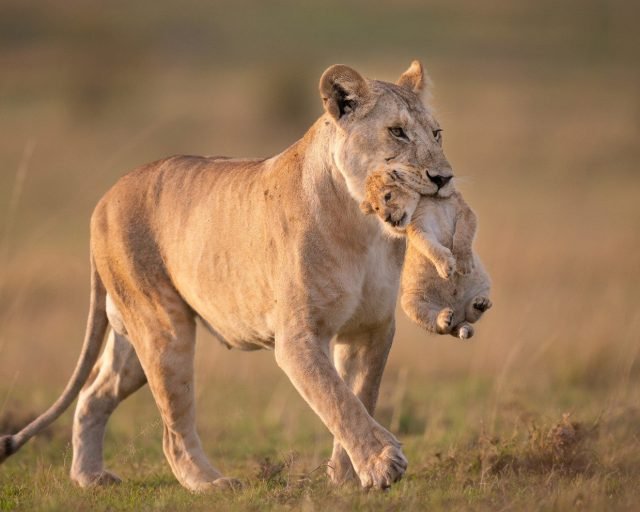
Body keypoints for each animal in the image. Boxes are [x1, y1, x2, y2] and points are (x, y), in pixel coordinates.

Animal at [0, 61, 456, 491]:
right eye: (397, 132)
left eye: (436, 134)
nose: (443, 178)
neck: (363, 225)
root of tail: (105, 198)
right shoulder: (298, 337)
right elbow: (337, 400)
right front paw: (381, 464)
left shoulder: (371, 329)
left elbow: (360, 396)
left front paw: (348, 479)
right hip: (164, 329)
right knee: (173, 429)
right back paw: (211, 483)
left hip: (132, 339)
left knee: (93, 394)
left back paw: (89, 477)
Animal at [360, 167, 492, 339]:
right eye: (376, 209)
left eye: (388, 196)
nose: (386, 218)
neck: (433, 199)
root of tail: (457, 317)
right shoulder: (418, 227)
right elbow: (429, 246)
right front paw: (446, 266)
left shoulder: (464, 211)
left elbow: (463, 234)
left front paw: (463, 264)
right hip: (411, 303)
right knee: (439, 326)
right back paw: (444, 318)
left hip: (483, 285)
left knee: (471, 316)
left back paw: (479, 305)